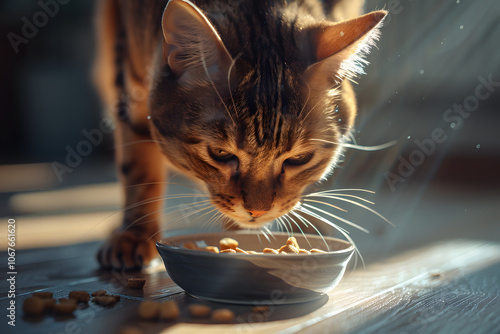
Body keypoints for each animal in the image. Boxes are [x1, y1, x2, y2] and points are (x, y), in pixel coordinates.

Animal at [93, 0, 386, 268]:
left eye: (299, 159)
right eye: (220, 153)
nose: (257, 211)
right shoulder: (129, 76)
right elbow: (139, 169)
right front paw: (135, 233)